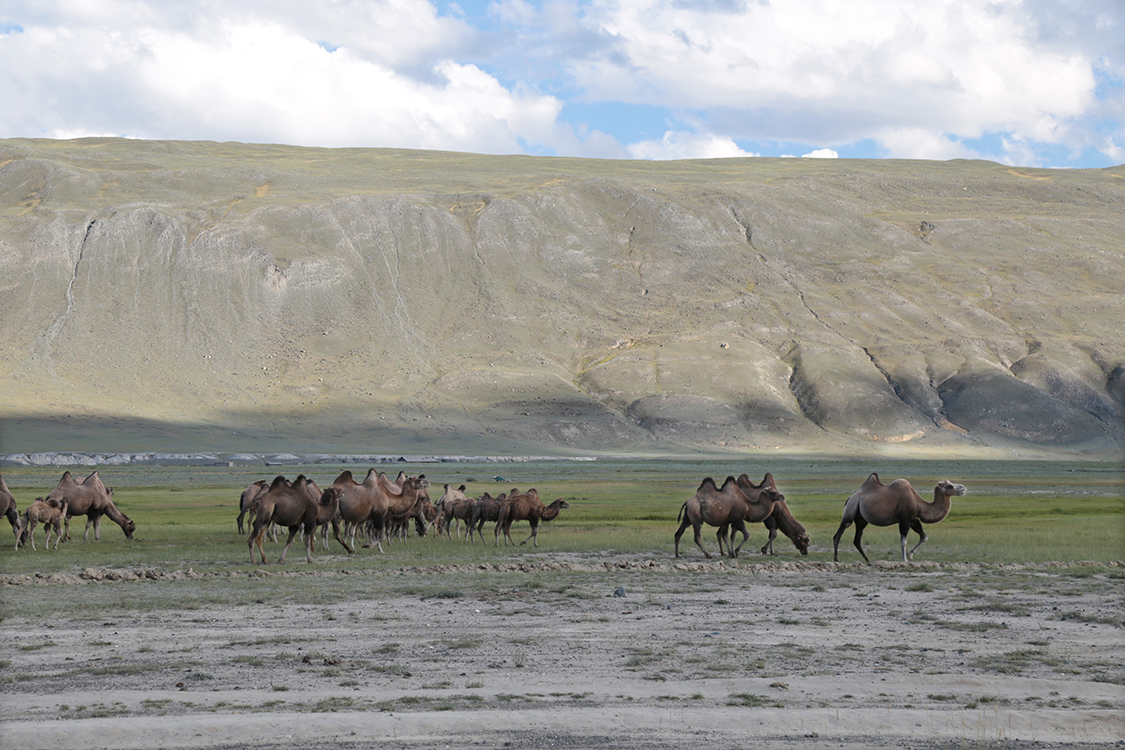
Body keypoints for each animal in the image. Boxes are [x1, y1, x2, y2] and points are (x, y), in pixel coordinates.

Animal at [832, 474, 972, 562]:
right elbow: (903, 541)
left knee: (857, 539)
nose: (963, 488)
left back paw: (868, 560)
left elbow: (924, 536)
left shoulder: (913, 520)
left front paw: (910, 555)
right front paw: (904, 559)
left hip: (861, 519)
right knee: (839, 534)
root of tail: (849, 498)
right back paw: (836, 559)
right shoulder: (904, 520)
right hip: (850, 512)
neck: (918, 502)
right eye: (949, 486)